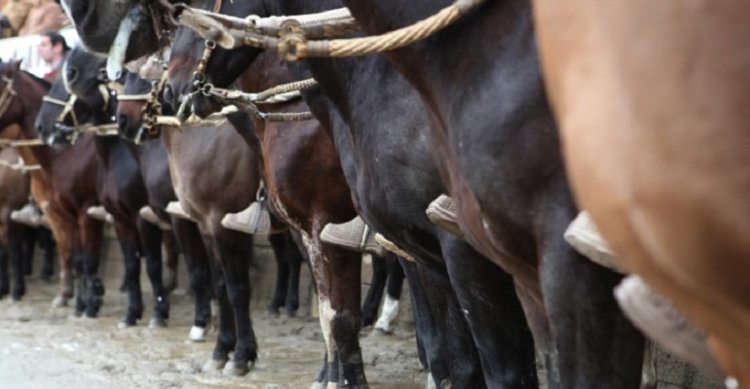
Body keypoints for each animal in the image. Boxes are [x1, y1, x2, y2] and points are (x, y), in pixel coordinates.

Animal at [0, 60, 104, 316]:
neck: (63, 154)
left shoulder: (85, 212)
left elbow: (85, 258)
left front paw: (87, 304)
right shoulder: (55, 213)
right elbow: (66, 252)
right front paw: (65, 295)